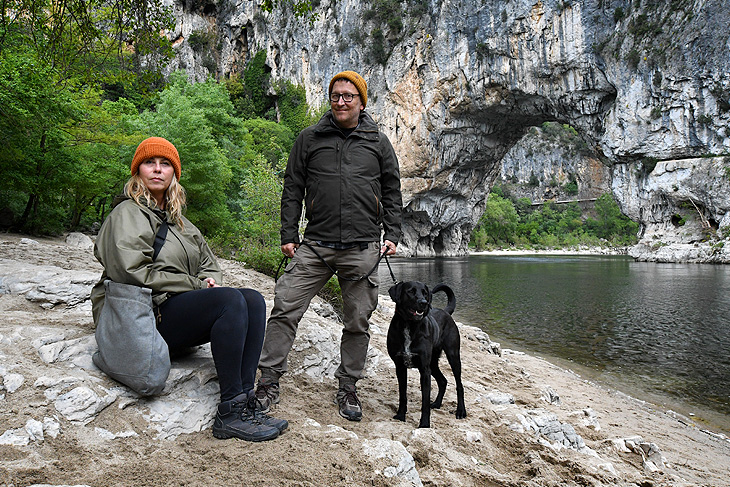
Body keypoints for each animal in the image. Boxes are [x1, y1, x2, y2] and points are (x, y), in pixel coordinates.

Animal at [386, 282, 466, 428]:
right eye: (410, 291)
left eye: (425, 293)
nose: (424, 302)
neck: (409, 325)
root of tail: (446, 311)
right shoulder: (400, 367)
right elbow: (402, 395)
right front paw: (400, 416)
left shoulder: (424, 370)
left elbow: (425, 401)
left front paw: (424, 424)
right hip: (433, 363)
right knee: (443, 381)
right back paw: (437, 403)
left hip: (453, 356)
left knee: (459, 385)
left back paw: (461, 411)